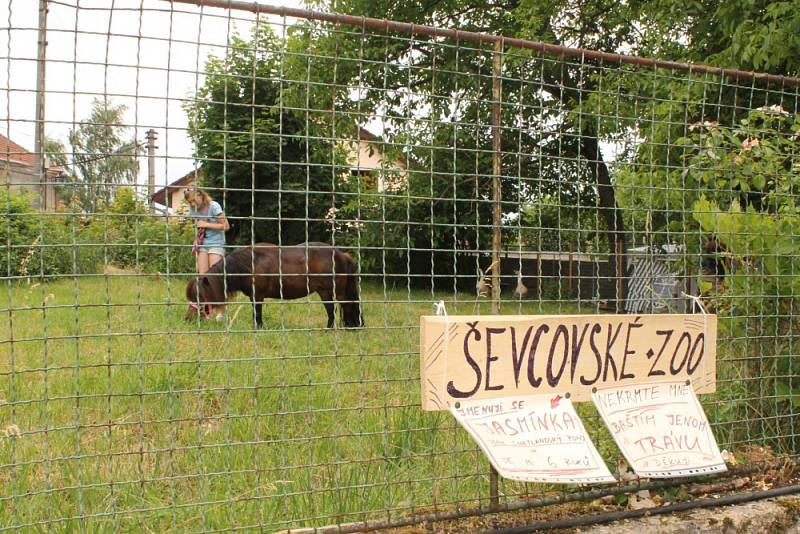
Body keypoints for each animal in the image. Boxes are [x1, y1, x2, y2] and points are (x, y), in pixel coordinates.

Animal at [184, 244, 362, 328]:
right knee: (333, 311)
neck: (248, 264)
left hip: (333, 292)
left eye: (199, 296)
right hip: (325, 292)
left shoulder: (258, 296)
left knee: (345, 308)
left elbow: (257, 314)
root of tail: (342, 255)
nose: (187, 319)